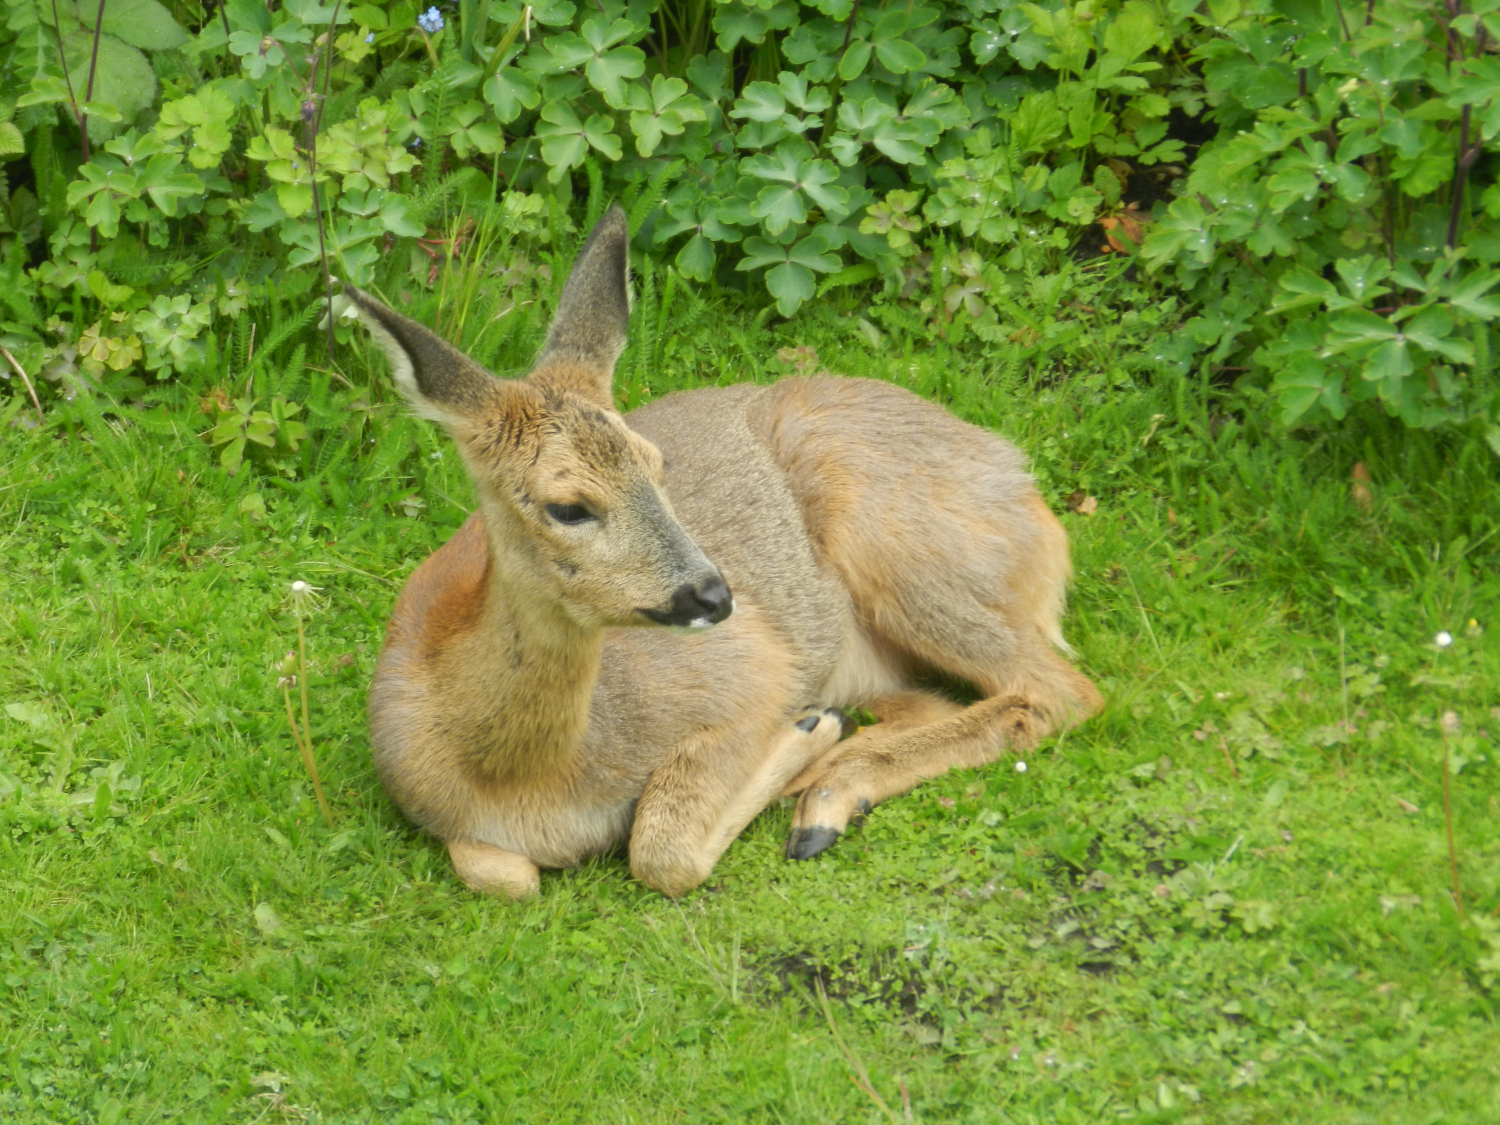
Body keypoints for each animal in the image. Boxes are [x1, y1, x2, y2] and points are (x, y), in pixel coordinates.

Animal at [347, 205, 1103, 900]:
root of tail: (1027, 487)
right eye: (567, 505)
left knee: (1060, 691)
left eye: (658, 464)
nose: (714, 594)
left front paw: (806, 735)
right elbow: (504, 873)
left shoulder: (750, 669)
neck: (520, 779)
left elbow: (660, 847)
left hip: (899, 547)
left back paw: (824, 789)